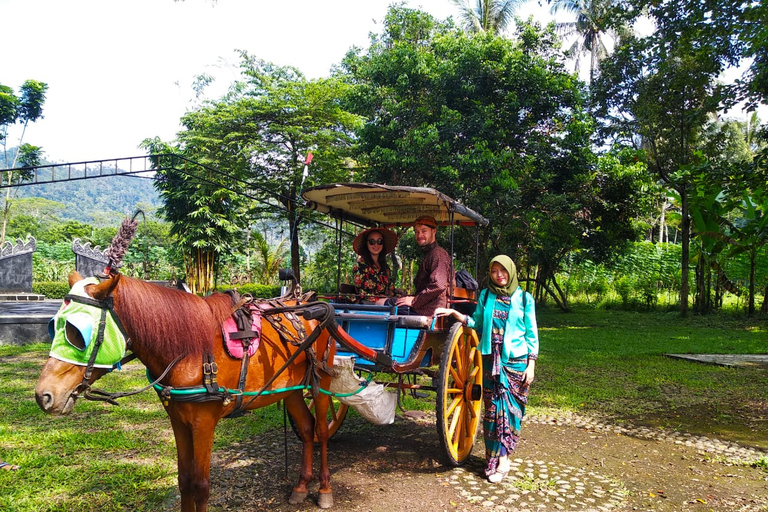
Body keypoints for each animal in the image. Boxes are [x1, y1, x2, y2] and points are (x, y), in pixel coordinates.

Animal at [36, 270, 336, 510]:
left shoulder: (203, 422)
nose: (43, 395)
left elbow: (200, 485)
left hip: (322, 382)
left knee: (321, 430)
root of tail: (307, 301)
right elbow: (184, 480)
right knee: (306, 428)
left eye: (77, 334)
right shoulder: (178, 420)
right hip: (291, 389)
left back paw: (324, 489)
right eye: (53, 327)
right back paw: (301, 486)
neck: (187, 351)